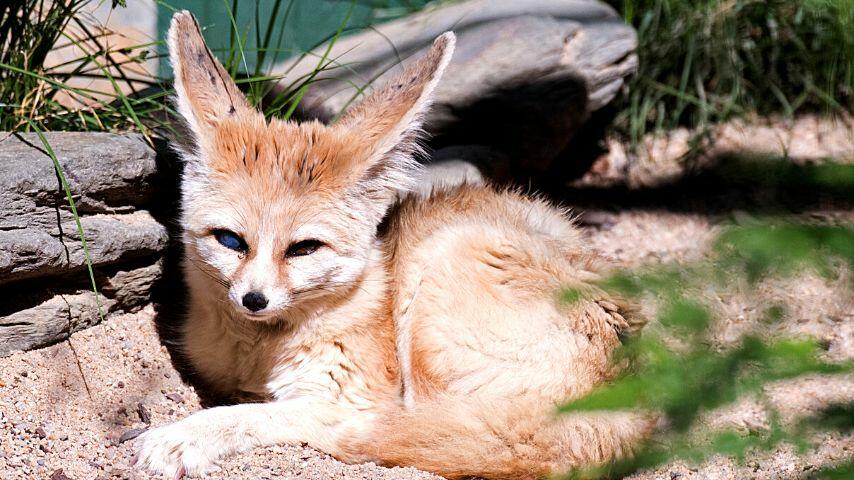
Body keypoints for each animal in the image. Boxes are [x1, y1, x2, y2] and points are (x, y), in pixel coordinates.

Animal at [135, 11, 648, 480]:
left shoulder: (350, 396)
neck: (258, 352)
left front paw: (186, 435)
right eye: (230, 240)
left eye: (304, 248)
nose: (253, 300)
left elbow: (251, 415)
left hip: (440, 261)